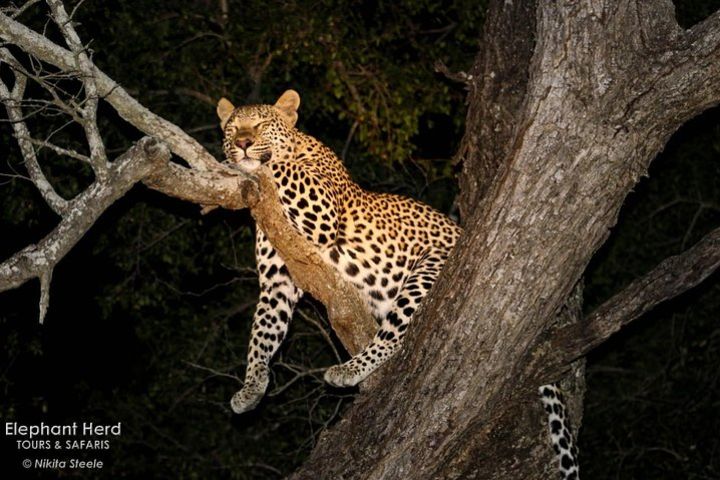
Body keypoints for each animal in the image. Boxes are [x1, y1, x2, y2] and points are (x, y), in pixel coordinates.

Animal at [215, 91, 580, 480]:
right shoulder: (277, 284)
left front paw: (245, 160)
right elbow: (262, 336)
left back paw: (350, 369)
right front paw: (251, 387)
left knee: (395, 336)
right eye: (233, 127)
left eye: (261, 124)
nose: (242, 142)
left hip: (427, 270)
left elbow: (279, 165)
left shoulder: (323, 211)